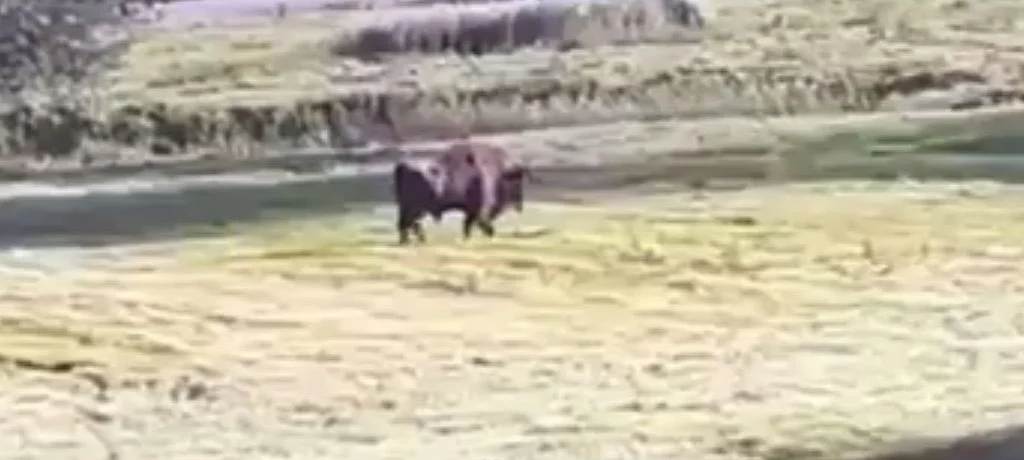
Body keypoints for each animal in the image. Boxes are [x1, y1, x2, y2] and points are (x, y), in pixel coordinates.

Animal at [392, 141, 530, 245]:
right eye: (517, 180)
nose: (520, 205)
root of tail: (402, 165)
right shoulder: (480, 209)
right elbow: (480, 224)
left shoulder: (471, 211)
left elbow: (467, 225)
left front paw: (467, 239)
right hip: (415, 209)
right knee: (410, 223)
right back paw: (413, 241)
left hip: (408, 208)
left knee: (406, 224)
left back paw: (410, 241)